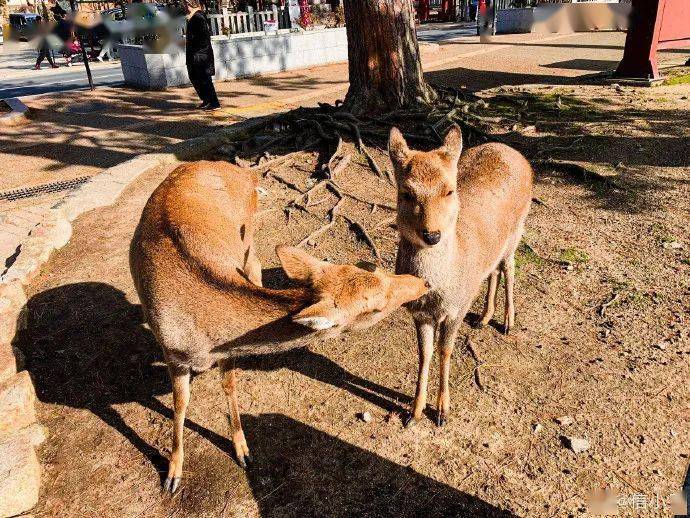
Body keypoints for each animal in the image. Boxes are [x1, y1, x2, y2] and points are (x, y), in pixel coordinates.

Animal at [129, 160, 428, 494]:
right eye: (373, 308)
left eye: (371, 270)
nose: (421, 282)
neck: (202, 338)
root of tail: (240, 170)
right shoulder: (172, 353)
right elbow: (180, 404)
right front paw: (172, 476)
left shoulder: (223, 351)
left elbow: (228, 385)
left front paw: (243, 451)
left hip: (246, 244)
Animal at [388, 126, 532, 430]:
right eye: (406, 192)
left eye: (449, 190)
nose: (432, 235)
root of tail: (515, 152)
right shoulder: (419, 313)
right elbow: (424, 353)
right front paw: (413, 412)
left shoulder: (456, 309)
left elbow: (445, 350)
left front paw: (443, 412)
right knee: (493, 270)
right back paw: (484, 318)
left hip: (518, 228)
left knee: (510, 266)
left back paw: (507, 322)